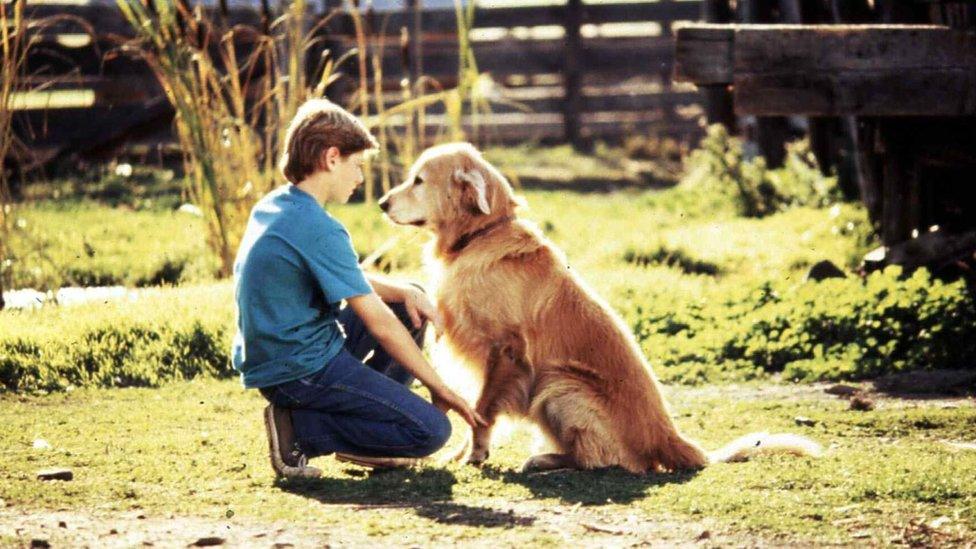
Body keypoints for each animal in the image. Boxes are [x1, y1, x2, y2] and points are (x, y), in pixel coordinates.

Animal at [378, 143, 820, 474]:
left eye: (418, 180)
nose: (381, 203)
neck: (481, 234)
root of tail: (668, 436)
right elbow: (475, 405)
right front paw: (460, 453)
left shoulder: (505, 349)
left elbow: (484, 410)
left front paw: (475, 454)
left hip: (560, 383)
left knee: (612, 462)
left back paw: (548, 461)